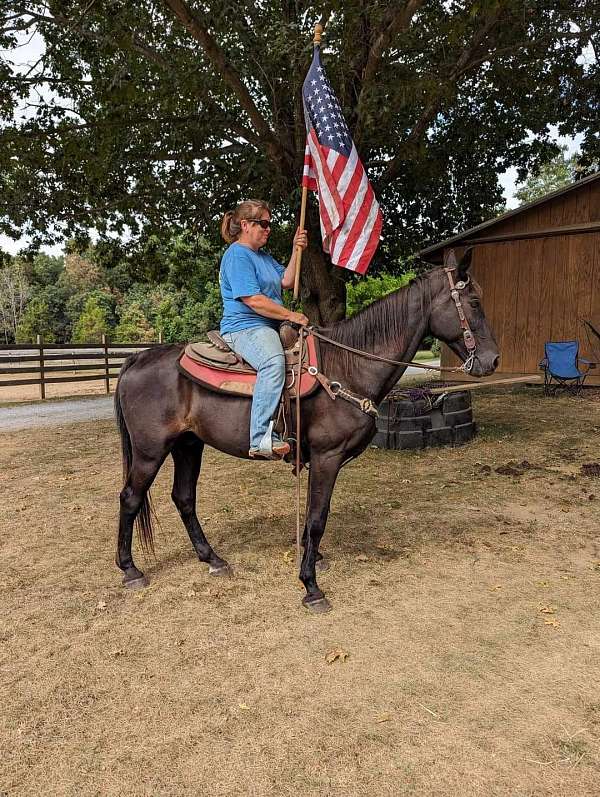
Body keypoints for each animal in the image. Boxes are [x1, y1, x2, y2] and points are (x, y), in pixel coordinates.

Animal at [115, 255, 500, 608]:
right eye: (473, 302)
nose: (493, 360)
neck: (348, 366)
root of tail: (138, 359)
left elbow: (316, 514)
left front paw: (314, 560)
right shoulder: (327, 457)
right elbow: (317, 517)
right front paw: (310, 586)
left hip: (188, 445)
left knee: (184, 498)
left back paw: (212, 559)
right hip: (151, 451)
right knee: (131, 498)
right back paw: (130, 570)